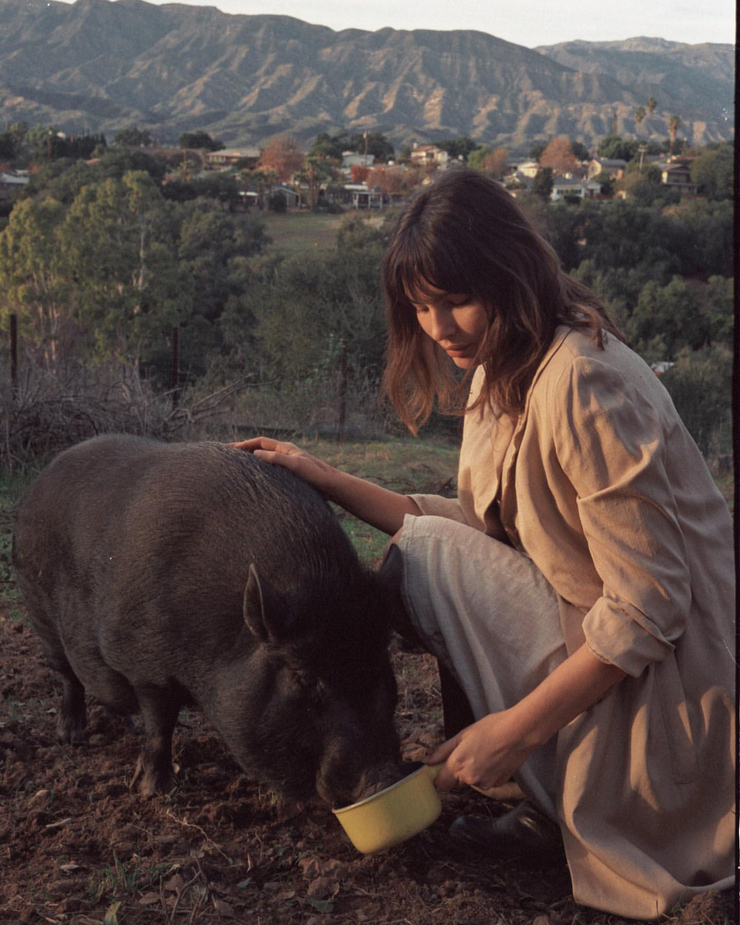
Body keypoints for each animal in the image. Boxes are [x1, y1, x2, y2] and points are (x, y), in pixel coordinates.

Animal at [13, 436, 404, 804]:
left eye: (381, 663)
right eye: (305, 677)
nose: (384, 777)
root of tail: (41, 478)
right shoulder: (146, 665)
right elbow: (160, 726)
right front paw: (155, 792)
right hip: (38, 607)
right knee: (67, 675)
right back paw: (72, 737)